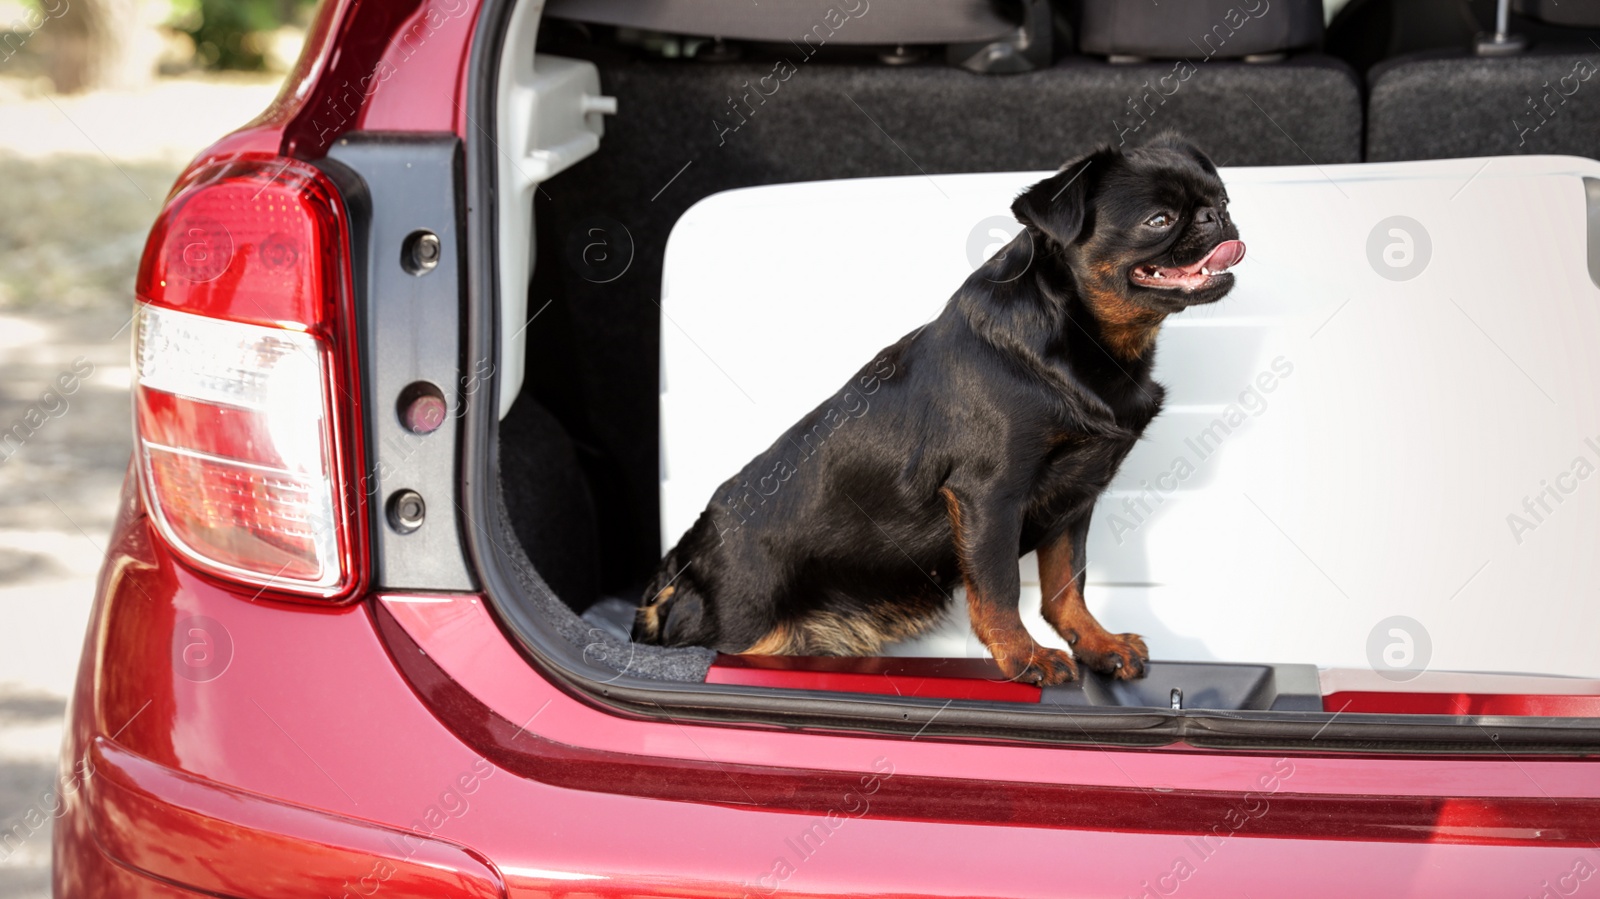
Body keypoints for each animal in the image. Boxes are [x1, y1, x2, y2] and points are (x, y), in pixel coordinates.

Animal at [630, 132, 1241, 681]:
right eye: (1159, 220)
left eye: (1224, 200)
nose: (1217, 218)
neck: (1086, 338)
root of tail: (683, 559)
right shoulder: (989, 496)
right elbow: (999, 589)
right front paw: (1023, 658)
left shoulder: (1075, 499)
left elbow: (1067, 586)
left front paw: (1096, 643)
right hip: (751, 630)